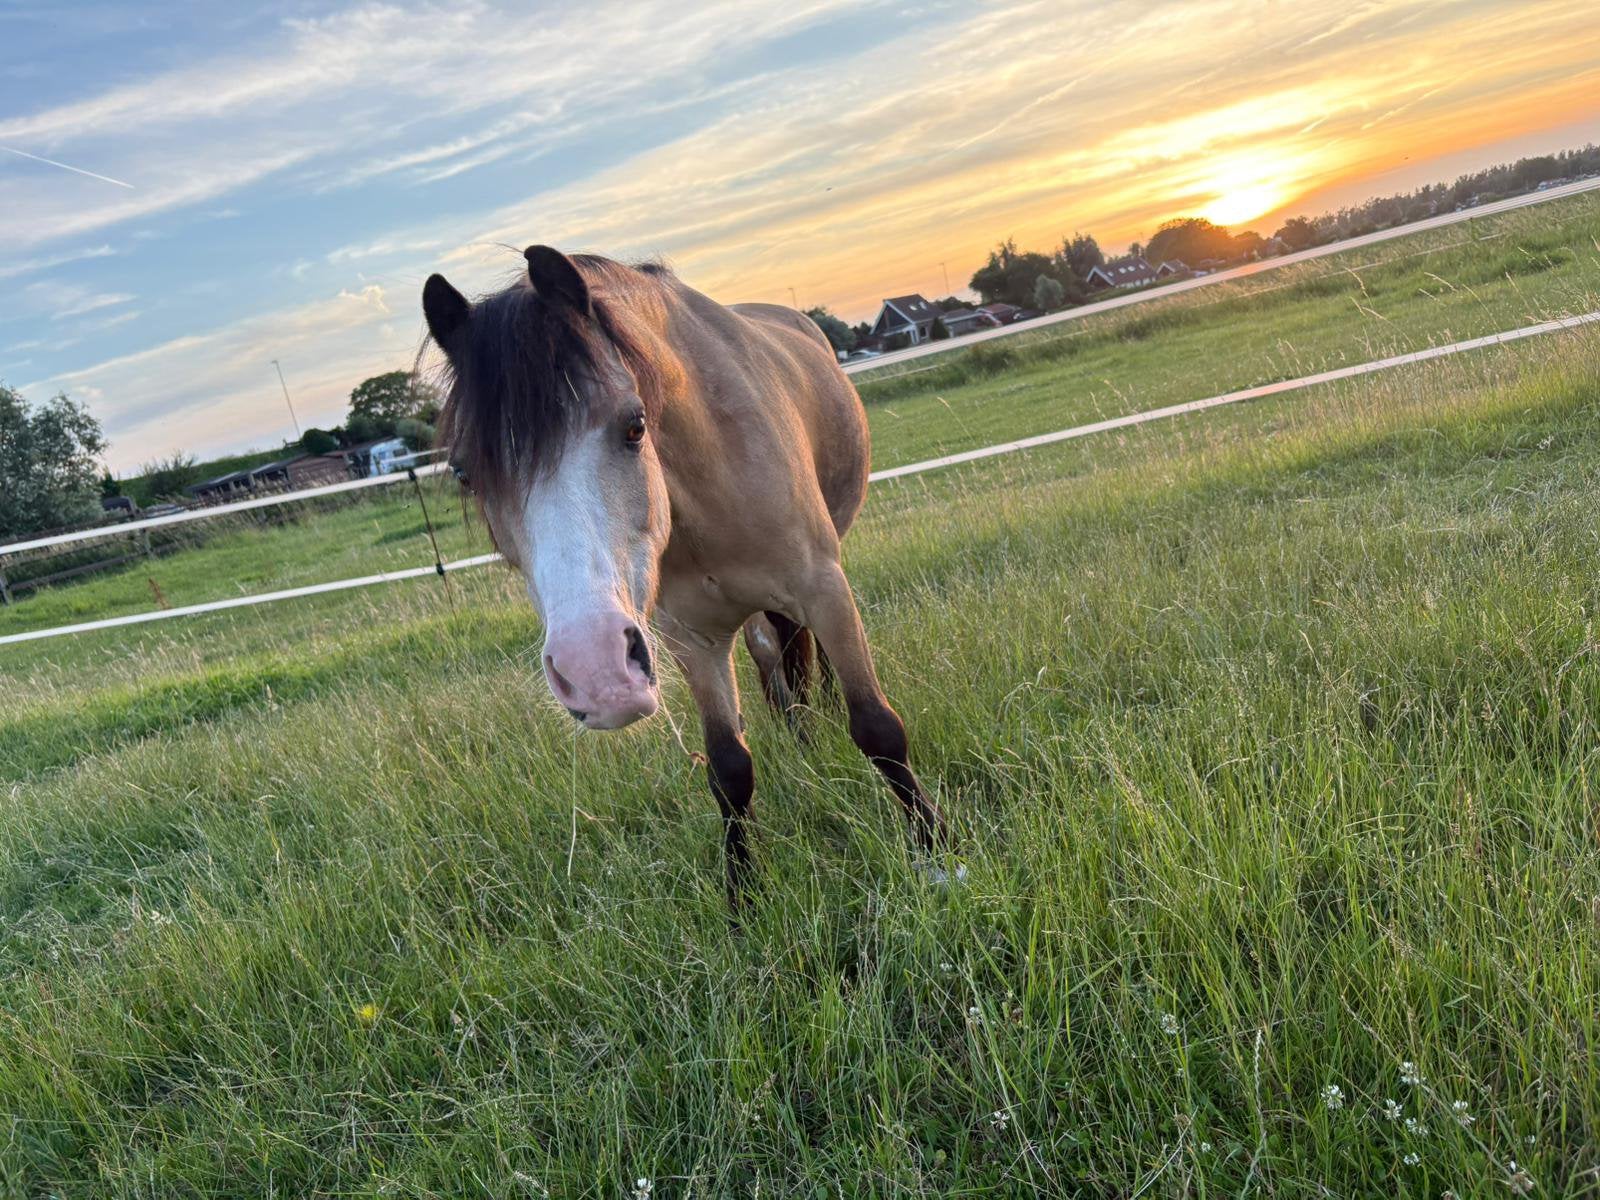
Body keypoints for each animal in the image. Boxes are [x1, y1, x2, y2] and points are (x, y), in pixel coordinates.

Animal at [422, 246, 946, 899]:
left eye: (635, 425)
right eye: (465, 473)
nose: (597, 673)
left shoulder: (824, 590)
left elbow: (878, 727)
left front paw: (938, 854)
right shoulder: (689, 640)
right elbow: (728, 768)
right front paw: (744, 898)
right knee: (778, 659)